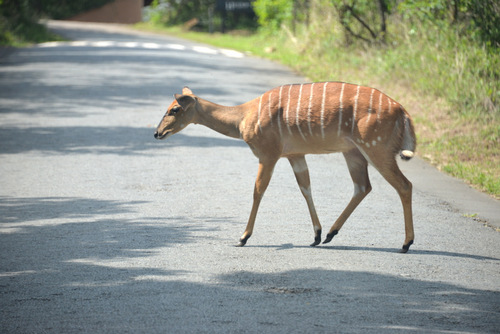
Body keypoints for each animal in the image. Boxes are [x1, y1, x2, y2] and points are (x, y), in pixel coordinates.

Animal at [154, 83, 416, 253]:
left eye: (174, 109)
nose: (157, 133)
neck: (243, 119)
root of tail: (404, 113)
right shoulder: (294, 154)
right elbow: (305, 188)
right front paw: (316, 235)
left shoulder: (268, 153)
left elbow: (258, 190)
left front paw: (243, 237)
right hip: (353, 151)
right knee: (363, 186)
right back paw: (330, 235)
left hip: (376, 148)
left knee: (404, 185)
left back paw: (406, 244)